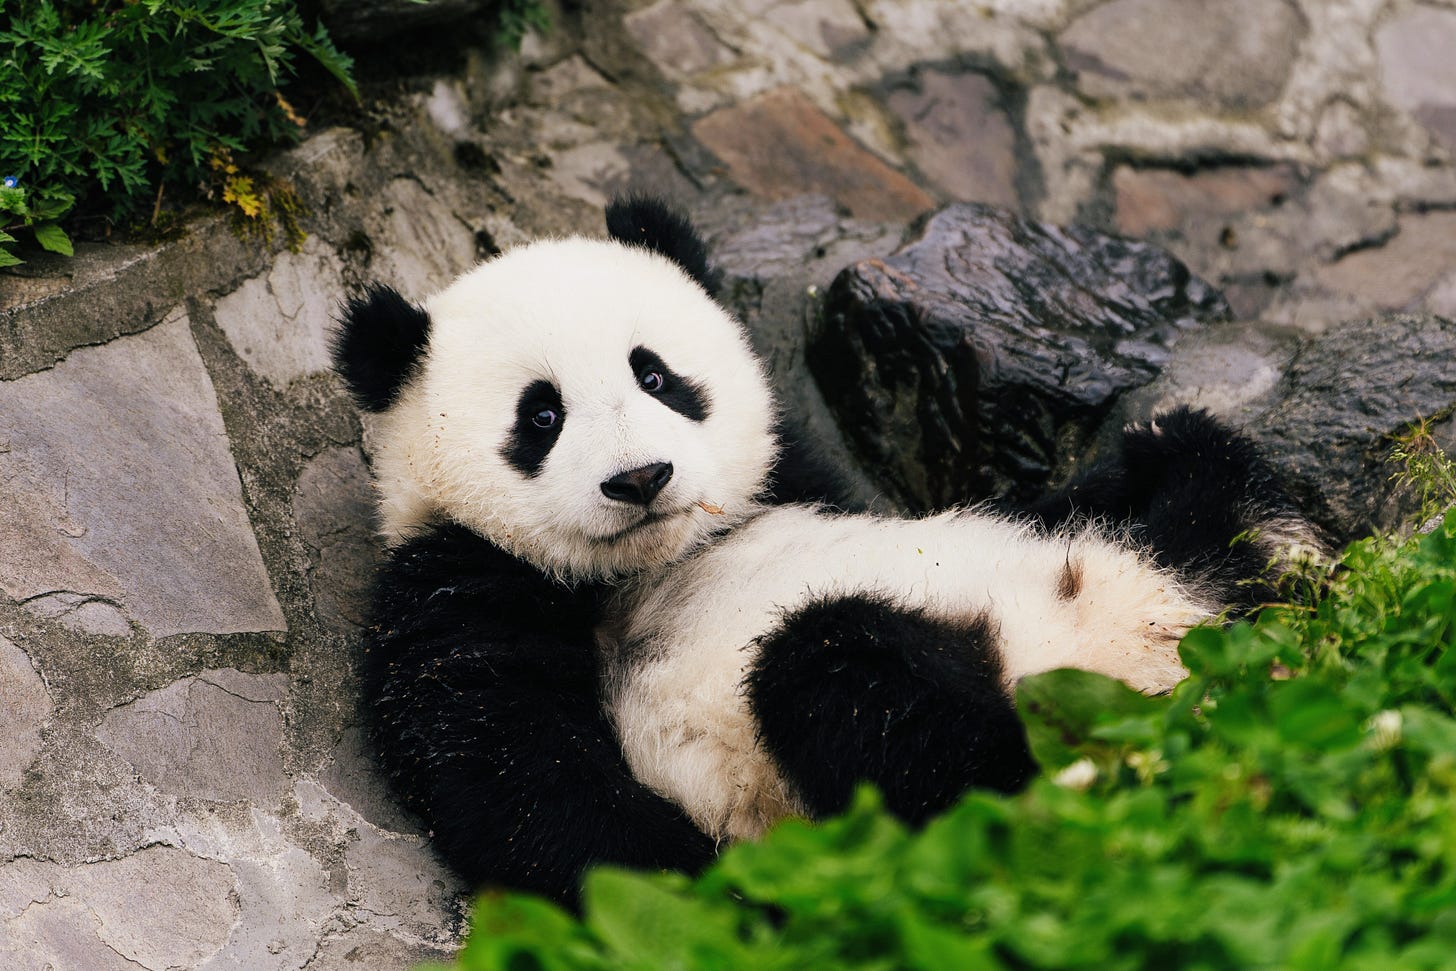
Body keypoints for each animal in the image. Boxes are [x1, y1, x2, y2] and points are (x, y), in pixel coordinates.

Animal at [331, 195, 1320, 903]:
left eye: (655, 374)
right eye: (541, 415)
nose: (642, 477)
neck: (660, 557)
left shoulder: (797, 477)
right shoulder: (457, 586)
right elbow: (519, 779)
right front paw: (712, 887)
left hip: (1155, 584)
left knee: (1193, 511)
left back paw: (1194, 473)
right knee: (844, 676)